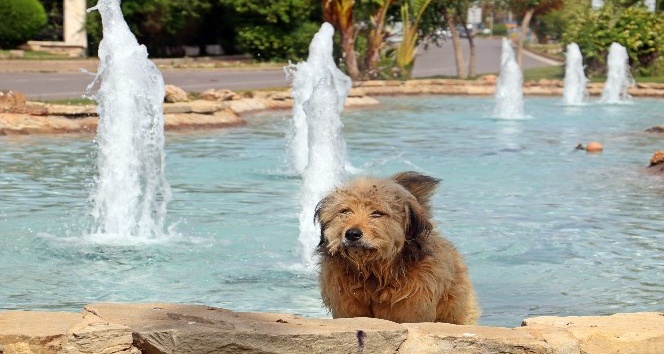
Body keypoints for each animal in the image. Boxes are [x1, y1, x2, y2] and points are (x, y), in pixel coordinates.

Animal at [314, 171, 480, 324]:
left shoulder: (412, 309)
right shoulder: (346, 305)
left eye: (377, 213)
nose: (352, 234)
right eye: (345, 211)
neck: (374, 275)